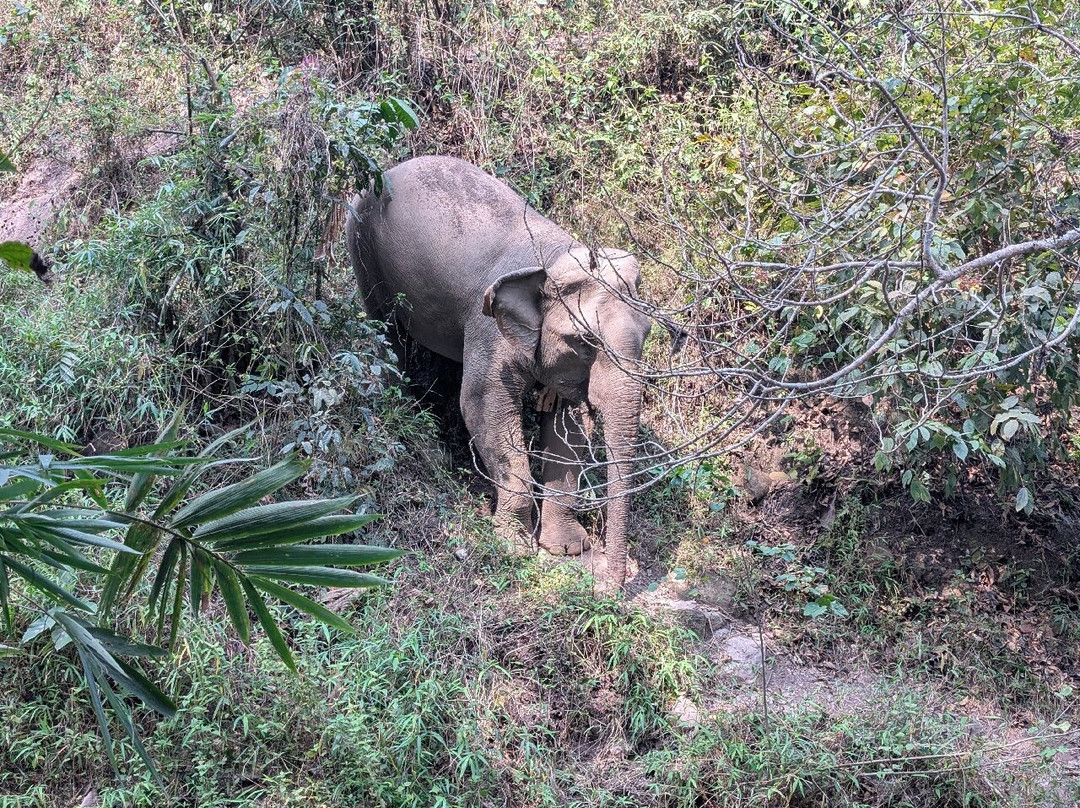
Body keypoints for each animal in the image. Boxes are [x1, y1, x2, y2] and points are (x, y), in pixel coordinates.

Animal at [346, 155, 650, 587]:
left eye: (648, 333)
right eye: (584, 341)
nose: (608, 586)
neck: (554, 256)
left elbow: (568, 428)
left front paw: (566, 548)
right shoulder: (490, 330)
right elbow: (482, 408)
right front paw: (514, 546)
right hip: (362, 244)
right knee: (387, 331)